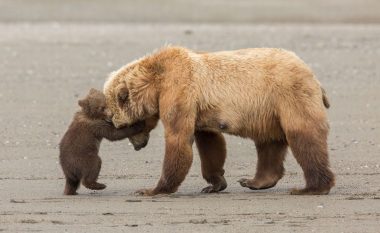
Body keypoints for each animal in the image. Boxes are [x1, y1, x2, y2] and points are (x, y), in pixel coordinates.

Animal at [103, 45, 332, 195]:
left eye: (124, 126)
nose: (137, 146)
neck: (156, 83)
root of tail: (313, 75)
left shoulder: (179, 91)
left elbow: (178, 138)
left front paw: (152, 189)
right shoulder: (200, 110)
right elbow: (210, 143)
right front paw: (214, 184)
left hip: (288, 94)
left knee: (303, 135)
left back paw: (312, 187)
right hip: (268, 112)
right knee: (268, 142)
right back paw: (254, 181)